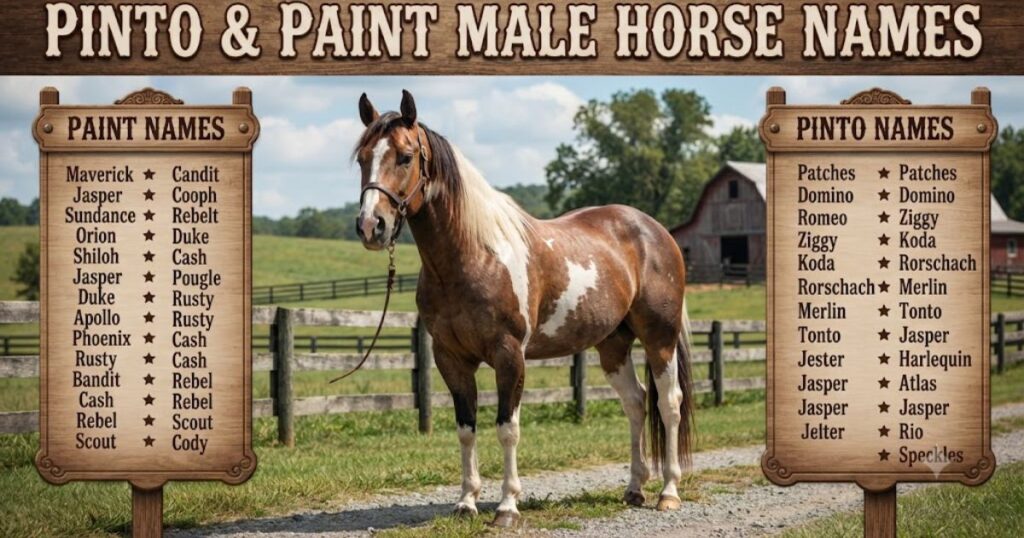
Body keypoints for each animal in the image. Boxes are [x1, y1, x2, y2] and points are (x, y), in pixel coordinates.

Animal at [352, 90, 694, 528]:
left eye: (406, 157)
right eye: (363, 158)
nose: (370, 226)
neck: (474, 255)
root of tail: (656, 231)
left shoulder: (509, 355)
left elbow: (507, 428)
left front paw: (506, 507)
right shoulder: (450, 358)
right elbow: (466, 428)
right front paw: (466, 502)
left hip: (659, 338)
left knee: (669, 404)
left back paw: (669, 491)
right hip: (614, 345)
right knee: (635, 403)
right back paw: (634, 488)